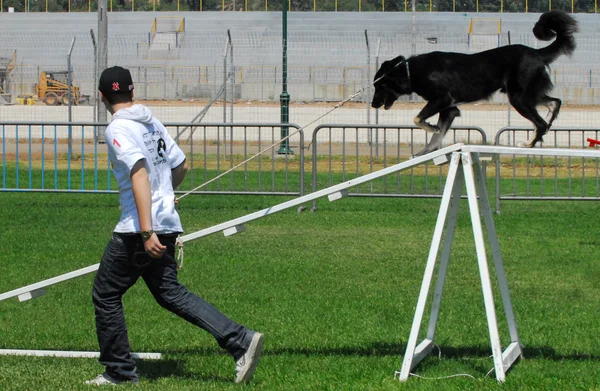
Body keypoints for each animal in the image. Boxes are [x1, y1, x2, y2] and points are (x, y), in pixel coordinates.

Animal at [372, 10, 580, 155]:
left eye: (379, 86)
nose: (373, 104)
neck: (411, 71)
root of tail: (536, 52)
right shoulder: (449, 109)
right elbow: (435, 138)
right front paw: (426, 151)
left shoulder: (441, 101)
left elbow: (418, 119)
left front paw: (431, 127)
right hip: (528, 95)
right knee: (554, 103)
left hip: (519, 98)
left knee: (541, 123)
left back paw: (529, 144)